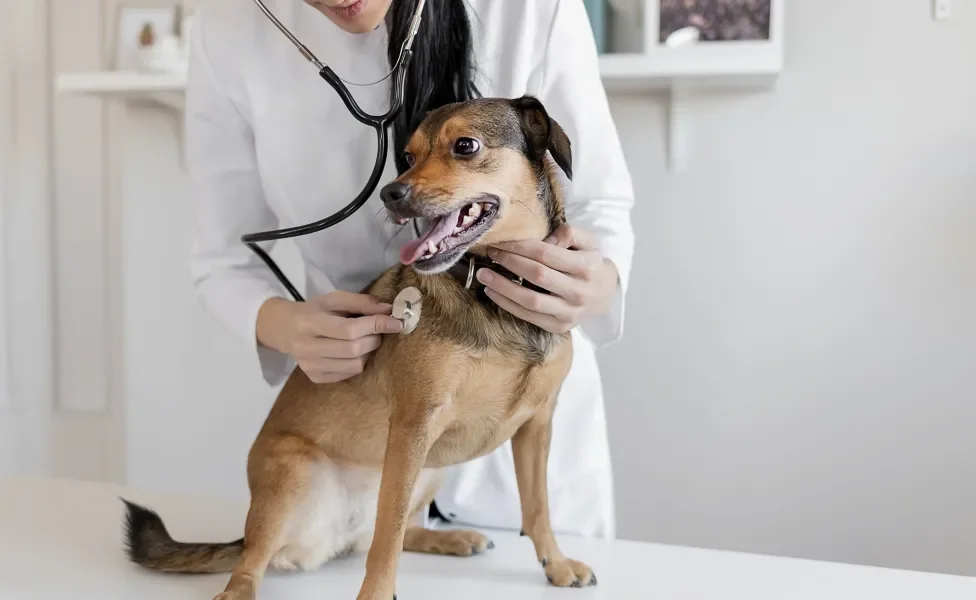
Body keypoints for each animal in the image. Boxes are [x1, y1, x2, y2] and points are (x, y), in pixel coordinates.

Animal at [122, 96, 596, 596]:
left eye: (466, 146)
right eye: (407, 156)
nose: (391, 194)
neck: (492, 289)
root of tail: (331, 538)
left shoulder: (537, 426)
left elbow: (538, 506)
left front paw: (556, 564)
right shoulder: (413, 426)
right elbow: (387, 541)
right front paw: (376, 595)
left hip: (432, 469)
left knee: (399, 531)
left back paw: (452, 538)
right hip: (294, 471)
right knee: (260, 558)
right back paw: (237, 590)